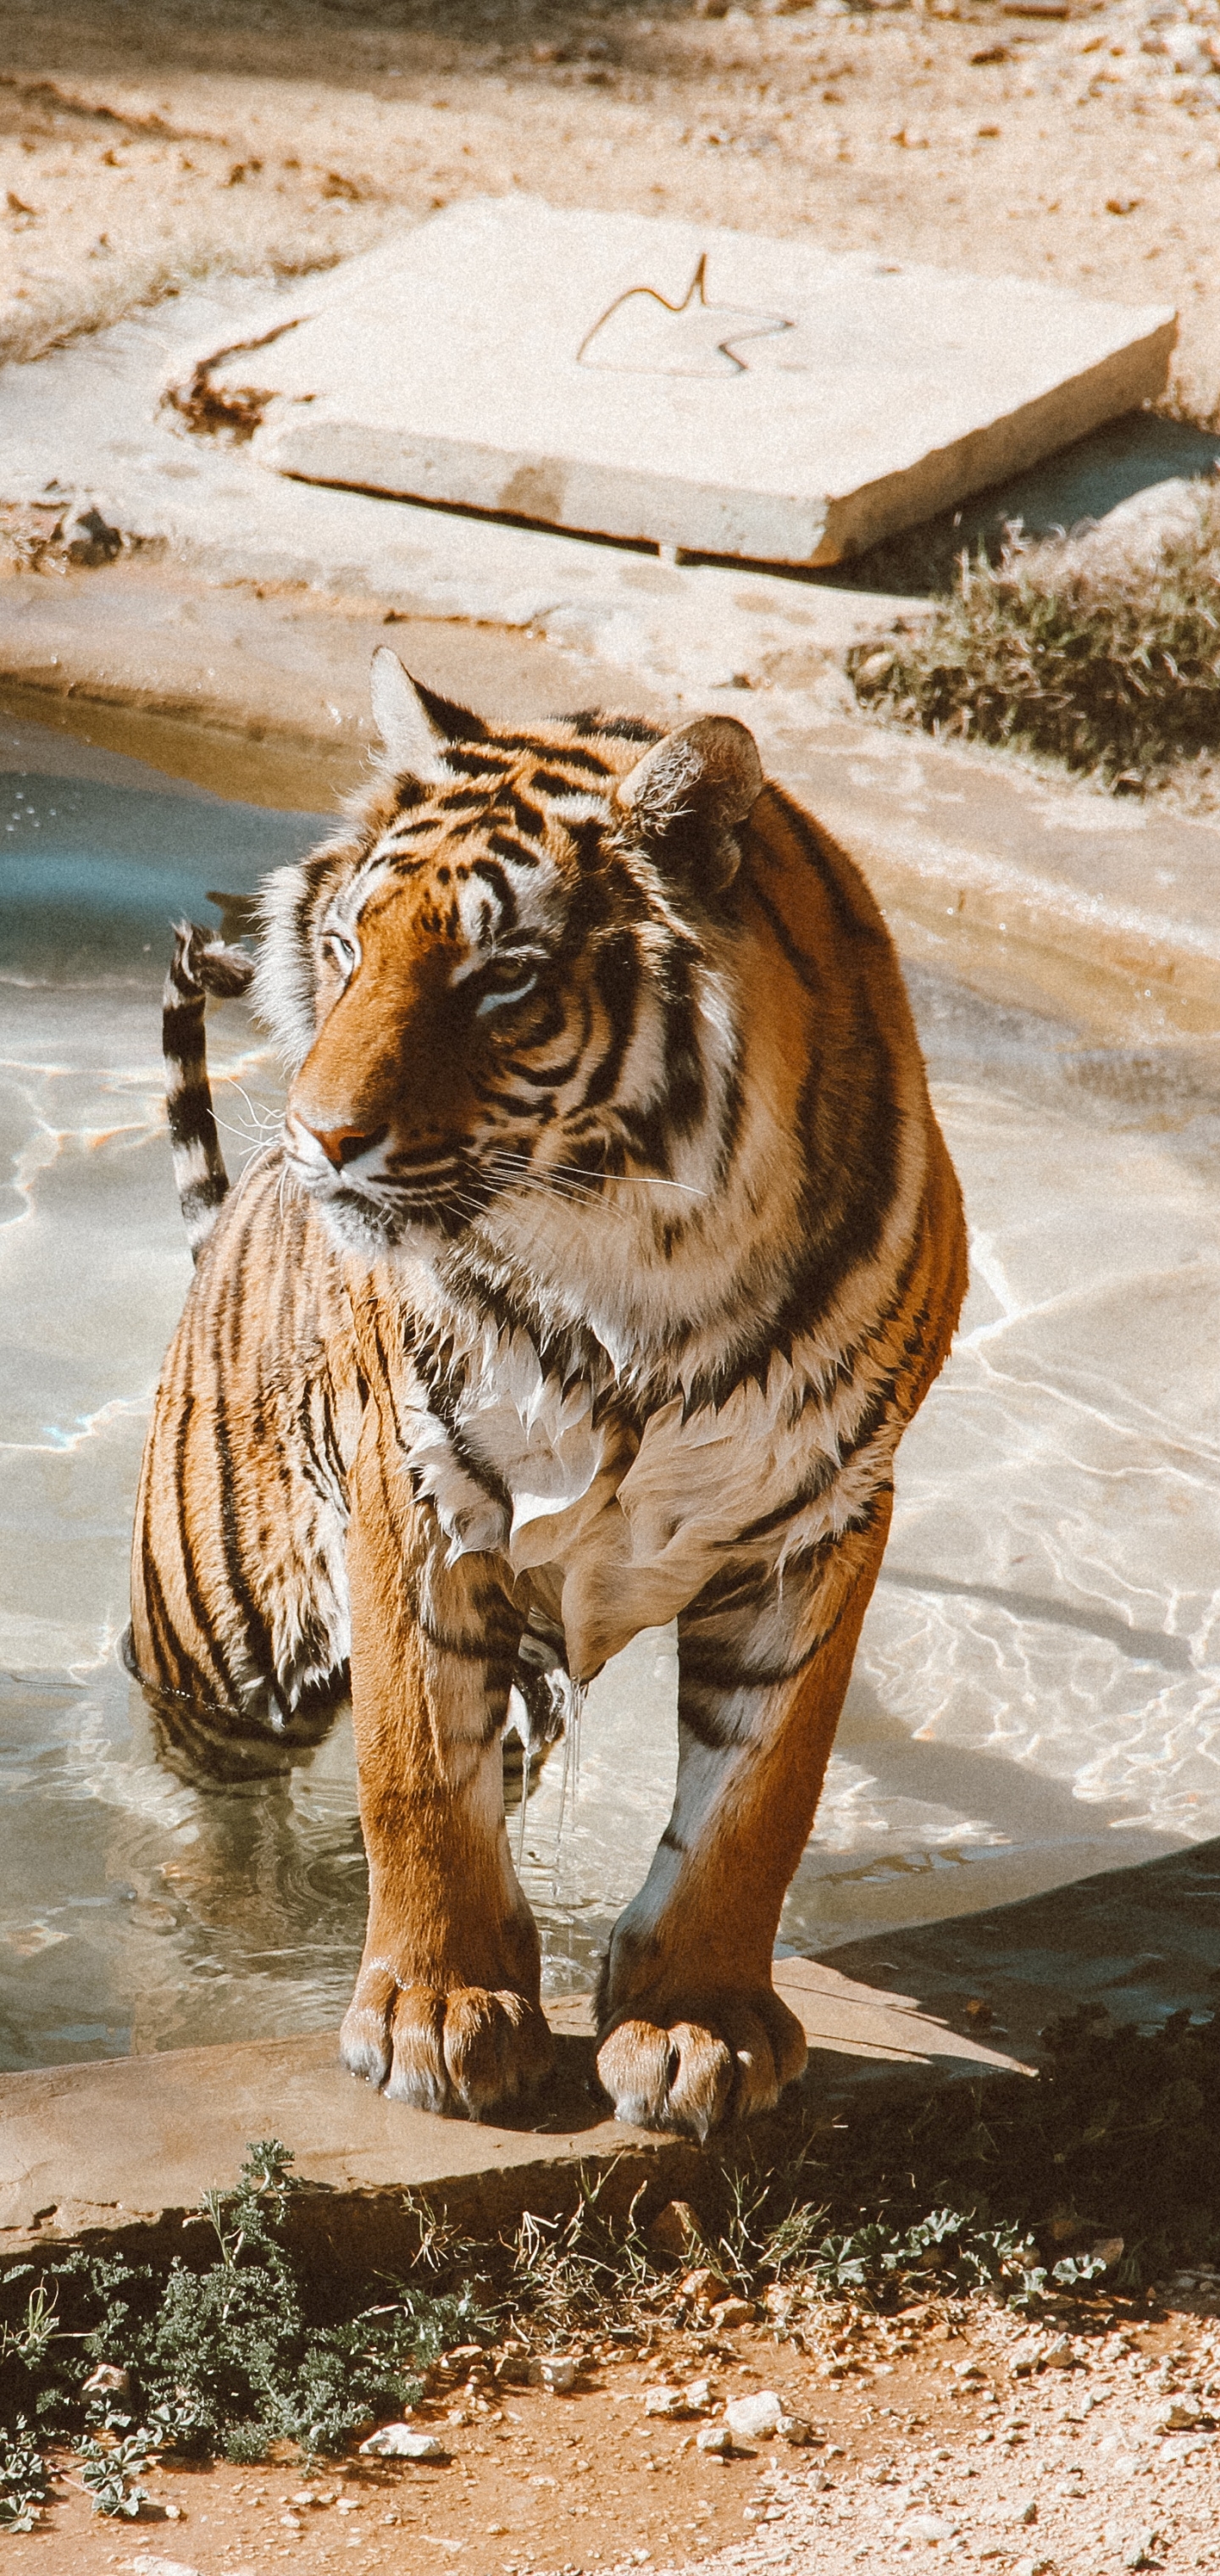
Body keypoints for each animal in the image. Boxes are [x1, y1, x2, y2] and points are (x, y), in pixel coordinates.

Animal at [124, 644, 962, 2133]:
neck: (640, 1272)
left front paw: (695, 2024)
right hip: (220, 1646)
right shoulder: (412, 1494)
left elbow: (758, 1798)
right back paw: (223, 1924)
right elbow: (414, 1773)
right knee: (211, 1802)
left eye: (502, 978)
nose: (317, 1138)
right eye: (348, 948)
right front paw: (434, 2014)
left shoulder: (822, 1521)